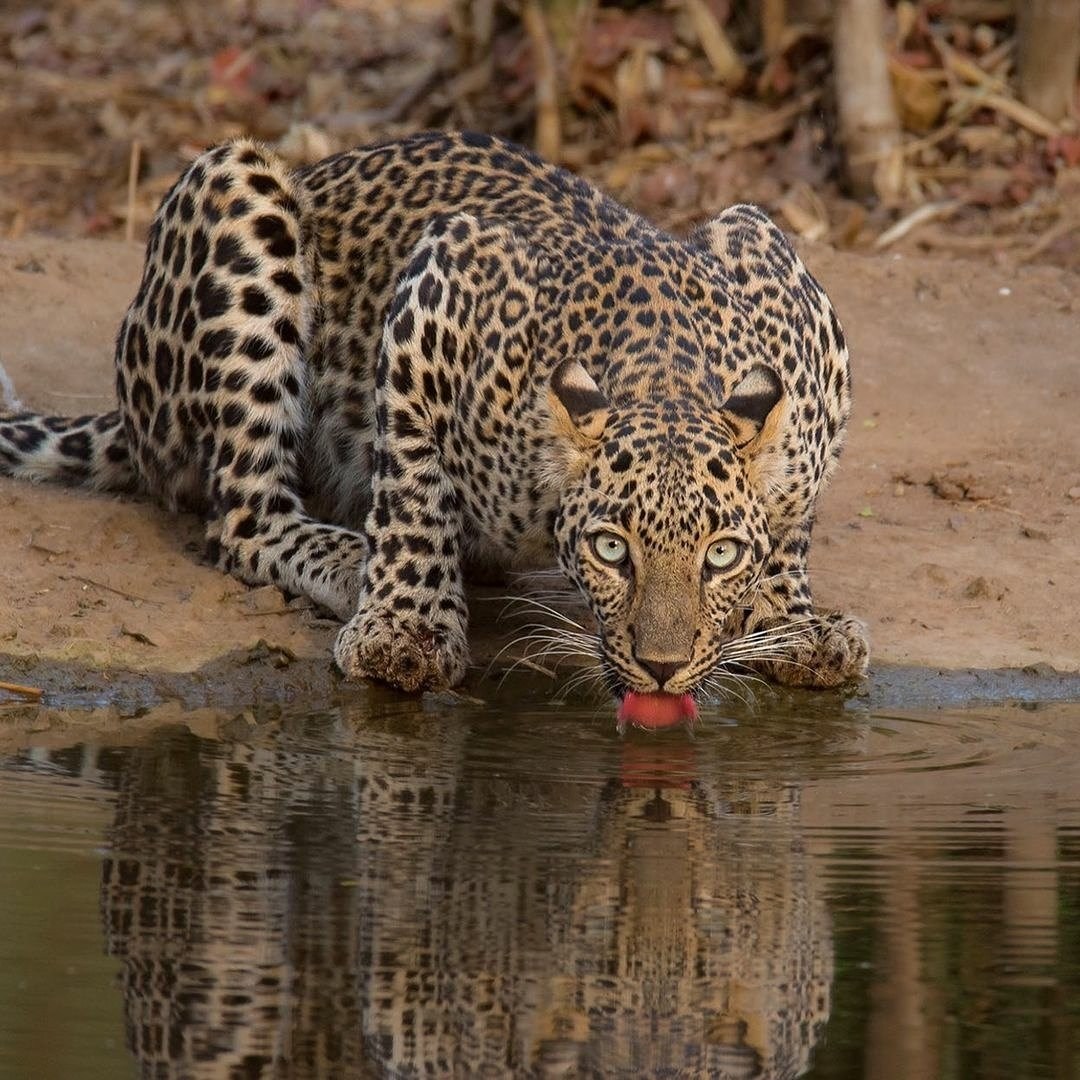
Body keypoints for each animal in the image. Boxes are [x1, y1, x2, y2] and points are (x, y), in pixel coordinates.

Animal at [0, 128, 864, 699]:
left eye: (720, 555)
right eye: (612, 550)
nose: (661, 668)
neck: (665, 378)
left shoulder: (778, 269)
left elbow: (791, 524)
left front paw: (792, 620)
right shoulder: (443, 279)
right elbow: (413, 482)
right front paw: (404, 628)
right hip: (236, 187)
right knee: (242, 517)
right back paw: (347, 559)